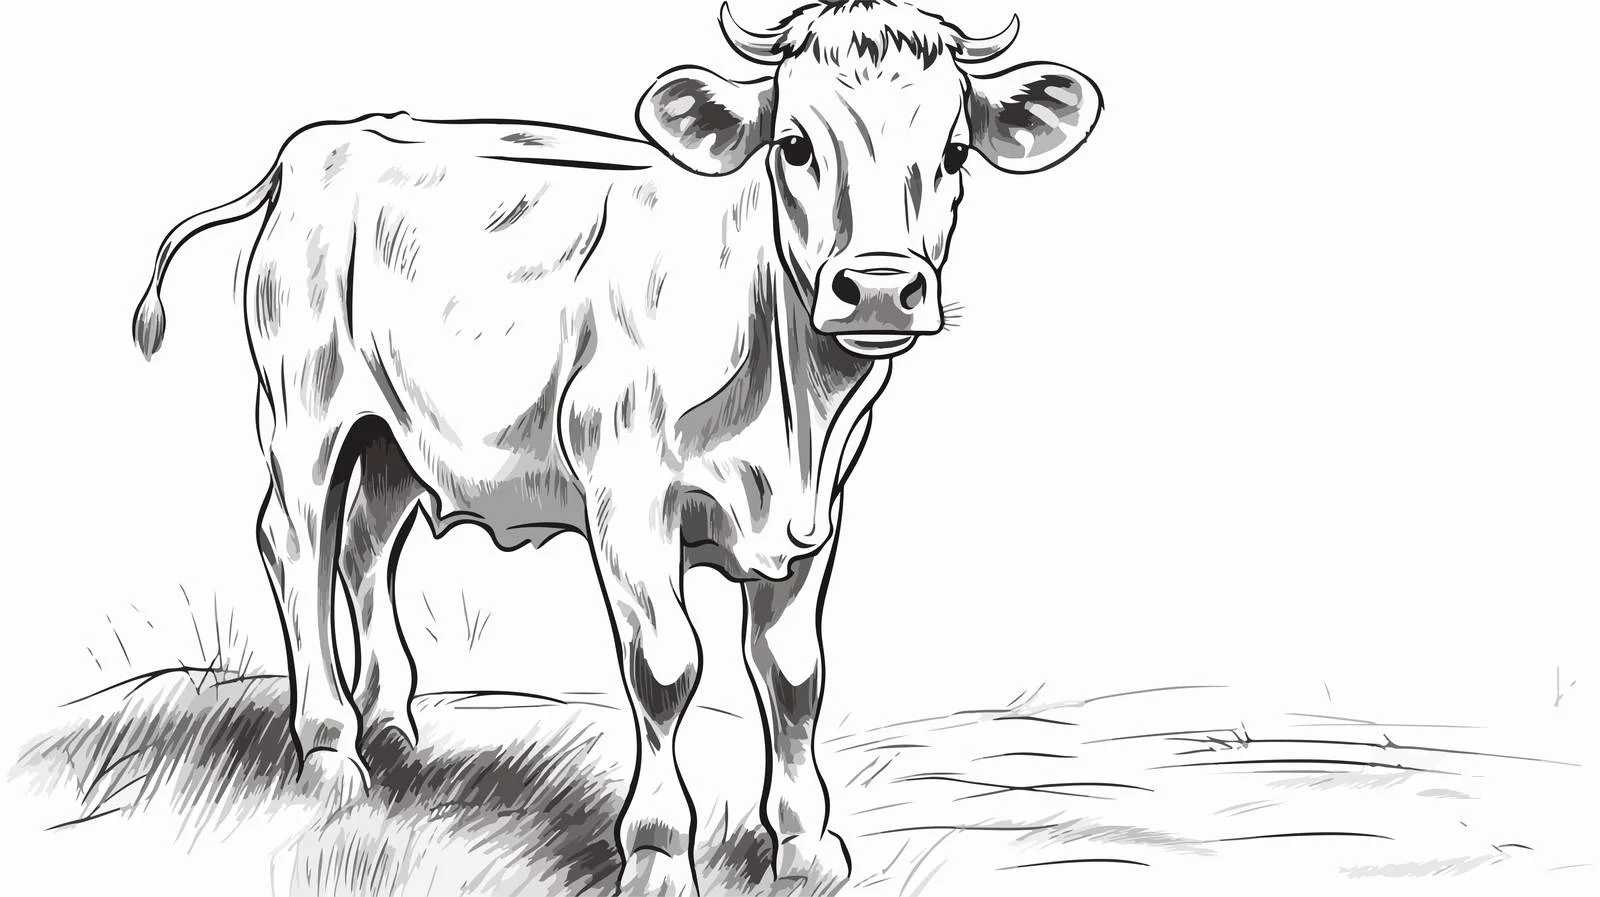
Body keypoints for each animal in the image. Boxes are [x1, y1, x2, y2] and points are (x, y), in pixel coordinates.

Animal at [129, 1, 1099, 894]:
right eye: (793, 145)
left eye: (955, 153)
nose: (883, 288)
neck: (791, 404)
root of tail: (324, 141)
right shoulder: (627, 495)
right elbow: (666, 665)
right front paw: (660, 852)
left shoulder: (816, 513)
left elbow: (794, 675)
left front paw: (805, 843)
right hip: (306, 406)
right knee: (297, 540)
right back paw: (333, 751)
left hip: (399, 433)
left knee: (366, 541)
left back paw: (395, 729)